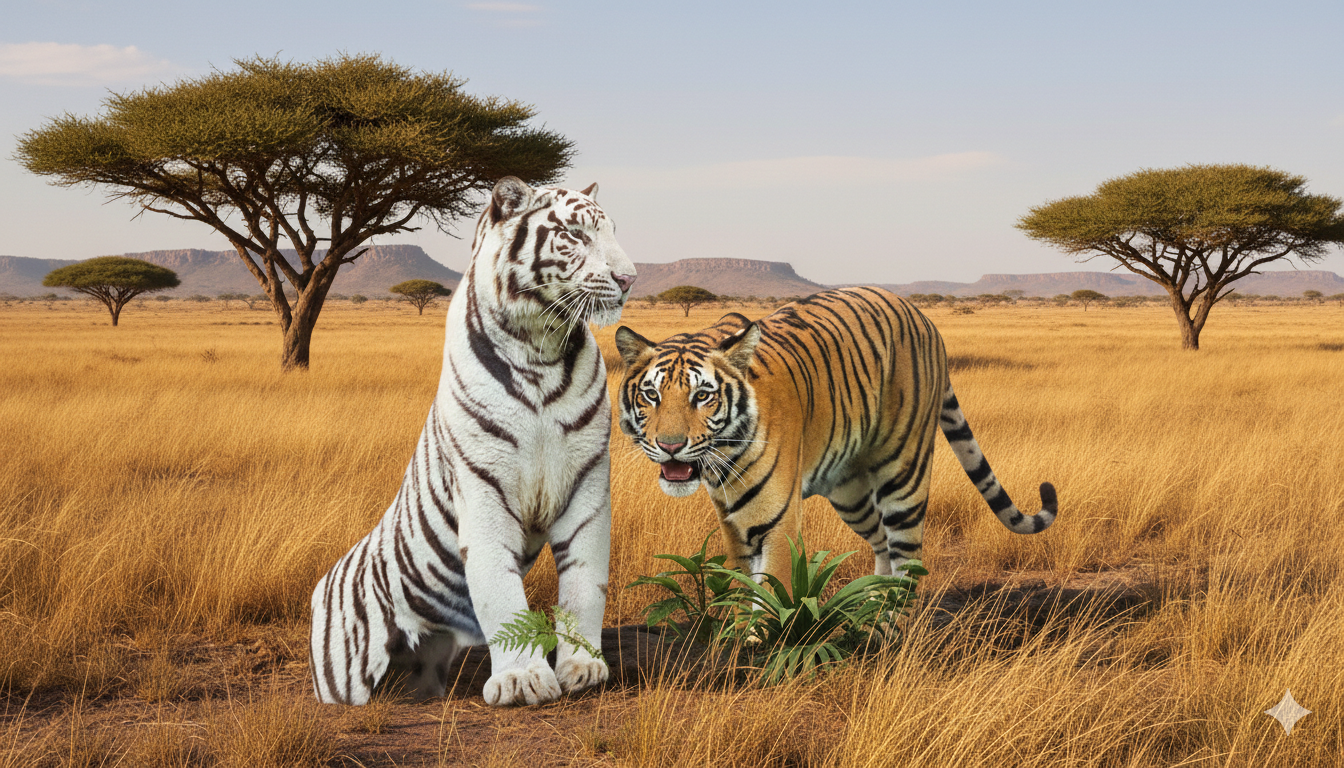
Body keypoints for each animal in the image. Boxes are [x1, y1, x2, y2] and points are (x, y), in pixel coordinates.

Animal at [310, 176, 636, 707]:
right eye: (574, 235)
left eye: (611, 231)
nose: (629, 279)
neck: (541, 349)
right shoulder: (484, 488)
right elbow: (500, 593)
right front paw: (522, 680)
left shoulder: (588, 483)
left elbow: (586, 583)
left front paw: (584, 668)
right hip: (341, 674)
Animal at [613, 287, 1056, 586]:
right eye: (651, 395)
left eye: (702, 396)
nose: (671, 446)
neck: (724, 463)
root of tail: (923, 316)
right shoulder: (733, 526)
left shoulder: (778, 522)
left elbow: (769, 597)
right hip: (850, 492)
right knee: (881, 543)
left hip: (905, 474)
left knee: (907, 557)